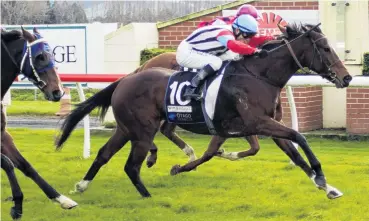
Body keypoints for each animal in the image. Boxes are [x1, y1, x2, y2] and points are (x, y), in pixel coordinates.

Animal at [1, 27, 77, 219]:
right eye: (40, 56)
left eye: (54, 55)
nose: (58, 91)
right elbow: (8, 164)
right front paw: (17, 204)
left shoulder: (3, 135)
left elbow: (26, 166)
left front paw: (61, 199)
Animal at [56, 23, 350, 199]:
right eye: (325, 48)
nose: (346, 78)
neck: (259, 76)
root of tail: (126, 78)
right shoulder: (257, 121)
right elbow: (299, 137)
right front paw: (321, 175)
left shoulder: (261, 125)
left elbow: (295, 154)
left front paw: (327, 186)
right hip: (142, 130)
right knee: (132, 165)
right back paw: (148, 194)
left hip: (126, 128)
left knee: (104, 154)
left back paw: (82, 185)